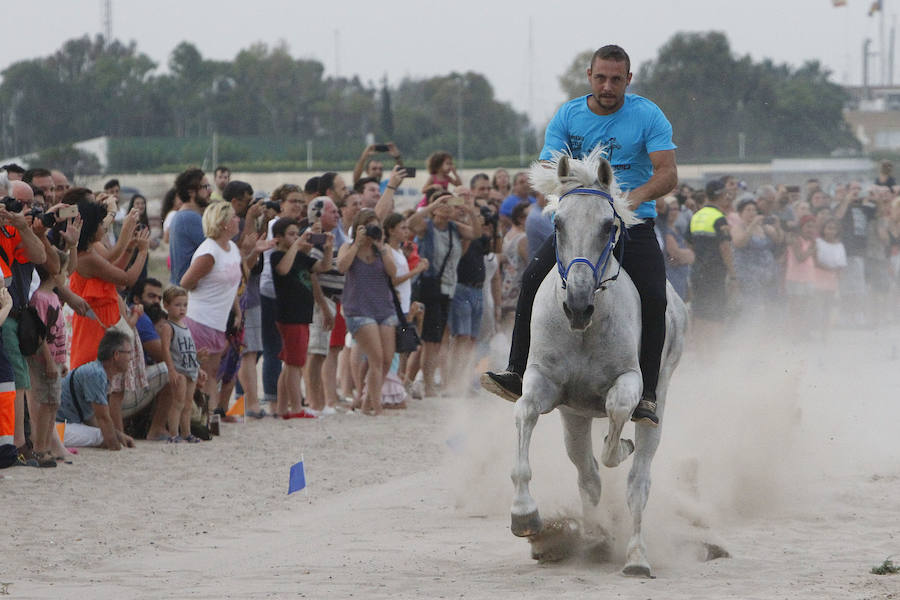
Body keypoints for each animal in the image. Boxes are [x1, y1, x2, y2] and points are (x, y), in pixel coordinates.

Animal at [510, 149, 684, 576]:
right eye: (557, 223)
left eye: (609, 226)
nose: (577, 304)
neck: (585, 329)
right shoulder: (543, 383)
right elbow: (524, 412)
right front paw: (524, 515)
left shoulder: (629, 383)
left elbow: (617, 418)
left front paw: (620, 446)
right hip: (573, 417)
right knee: (587, 475)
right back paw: (593, 540)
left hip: (658, 402)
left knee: (638, 482)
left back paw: (635, 556)